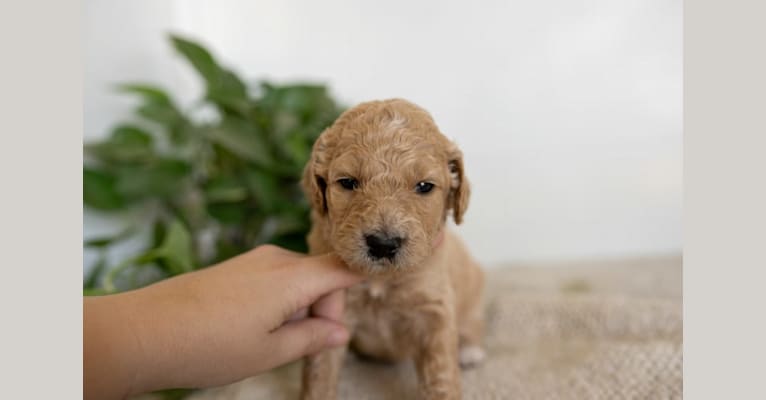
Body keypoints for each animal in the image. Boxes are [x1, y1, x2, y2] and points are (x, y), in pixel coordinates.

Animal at [300, 98, 486, 398]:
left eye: (424, 186)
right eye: (347, 182)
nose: (383, 244)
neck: (382, 279)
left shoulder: (434, 310)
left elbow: (441, 375)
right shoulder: (332, 309)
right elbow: (320, 371)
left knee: (472, 323)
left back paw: (470, 351)